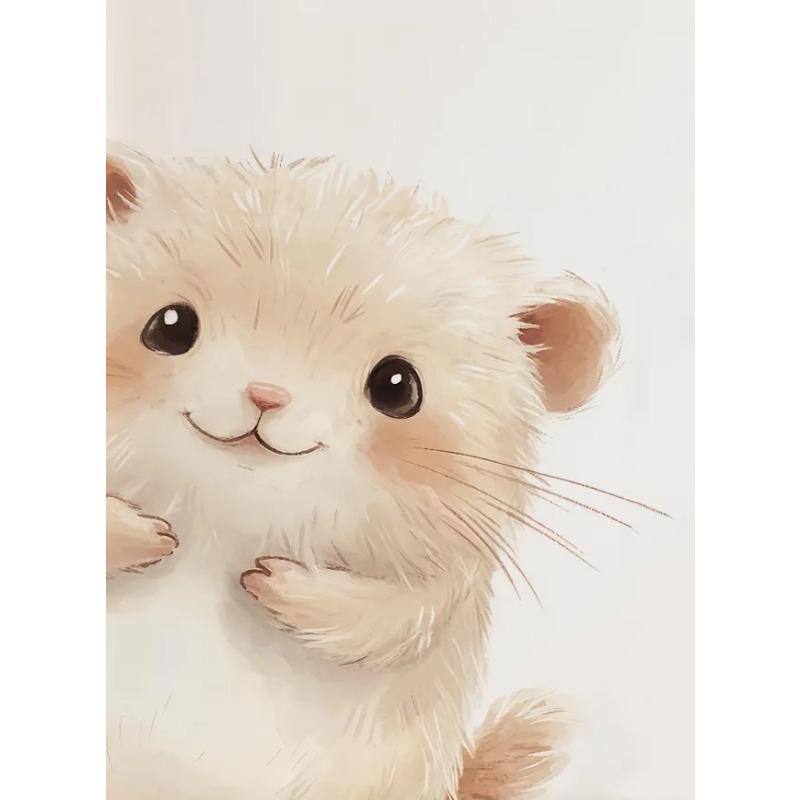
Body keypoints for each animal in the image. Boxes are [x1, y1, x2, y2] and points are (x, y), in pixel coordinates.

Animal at [106, 146, 619, 800]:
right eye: (169, 326)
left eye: (397, 386)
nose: (266, 394)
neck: (229, 517)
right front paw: (149, 535)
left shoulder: (450, 576)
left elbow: (396, 617)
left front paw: (275, 582)